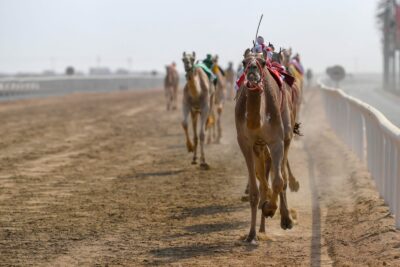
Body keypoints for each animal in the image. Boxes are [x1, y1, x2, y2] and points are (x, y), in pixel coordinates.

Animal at [234, 48, 294, 245]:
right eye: (244, 62)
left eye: (261, 62)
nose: (252, 69)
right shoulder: (245, 143)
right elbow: (255, 191)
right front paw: (252, 235)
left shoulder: (276, 141)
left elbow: (278, 181)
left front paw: (270, 209)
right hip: (259, 147)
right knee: (263, 178)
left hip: (287, 133)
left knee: (281, 175)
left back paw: (286, 219)